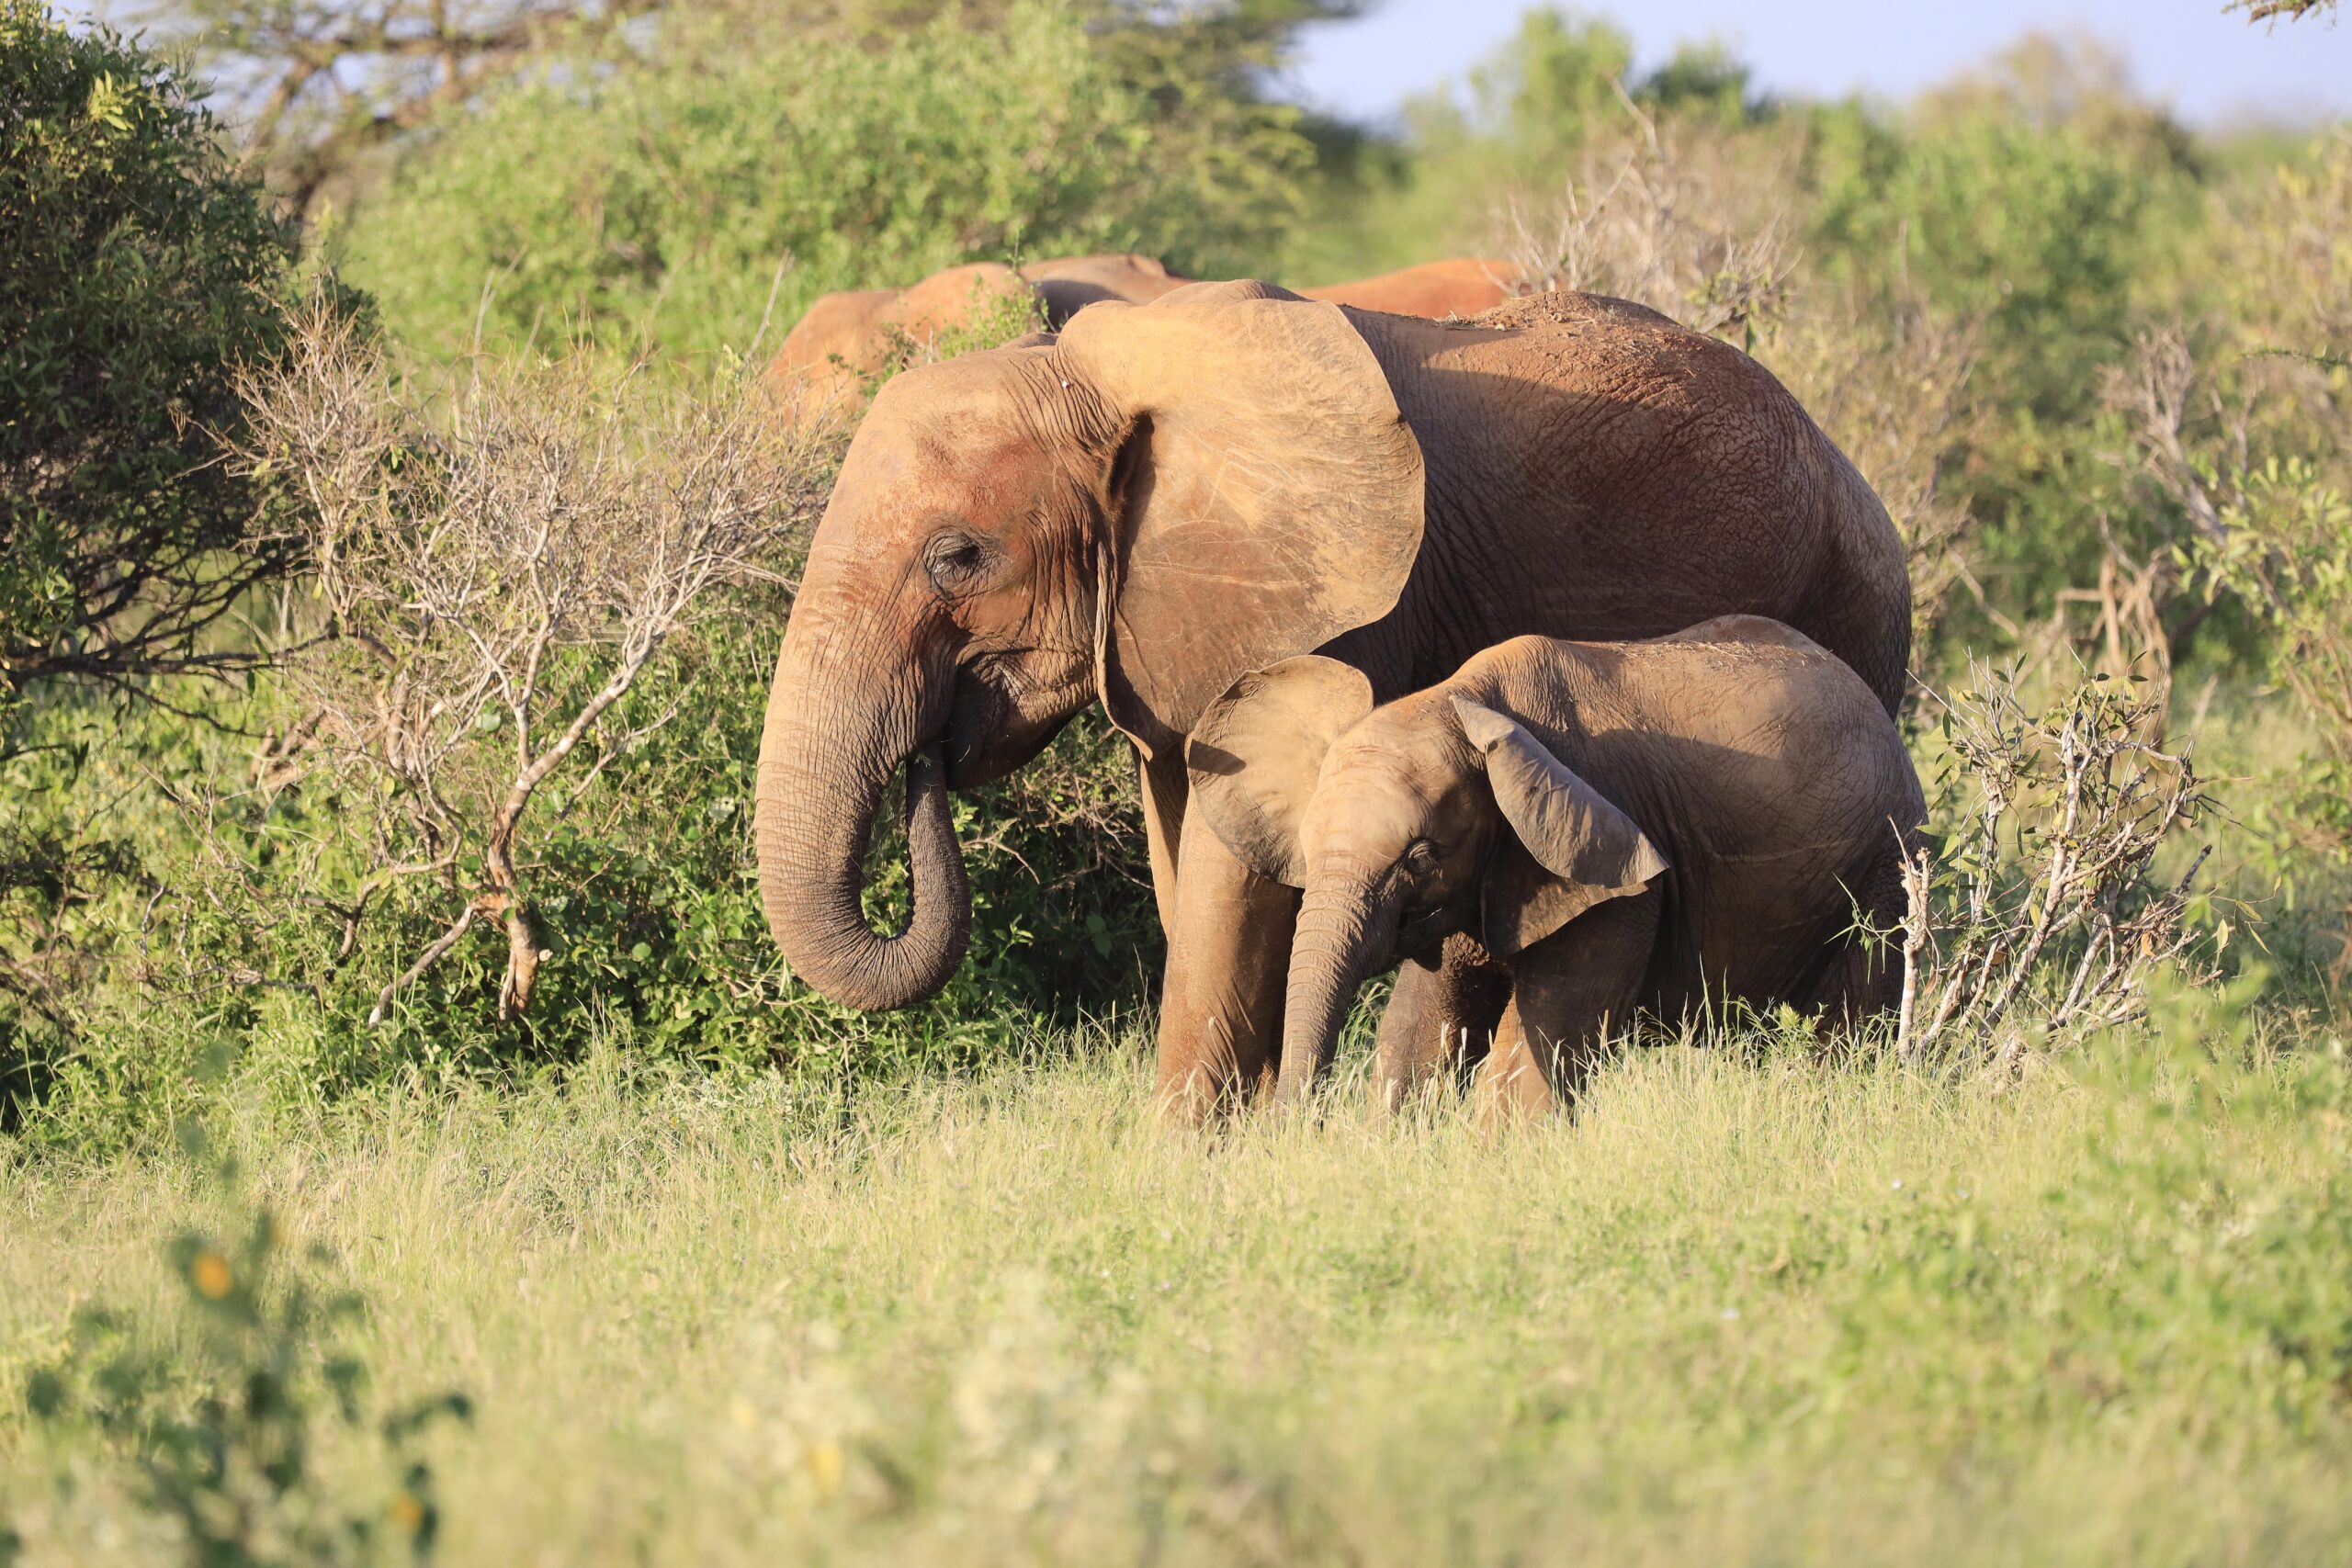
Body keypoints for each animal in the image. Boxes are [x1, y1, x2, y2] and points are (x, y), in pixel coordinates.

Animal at [1185, 611, 1918, 1114]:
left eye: (1419, 859)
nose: (1288, 1124)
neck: (1461, 698)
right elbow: (1420, 1033)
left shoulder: (1616, 872)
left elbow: (1535, 1048)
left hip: (1886, 869)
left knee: (1847, 1030)